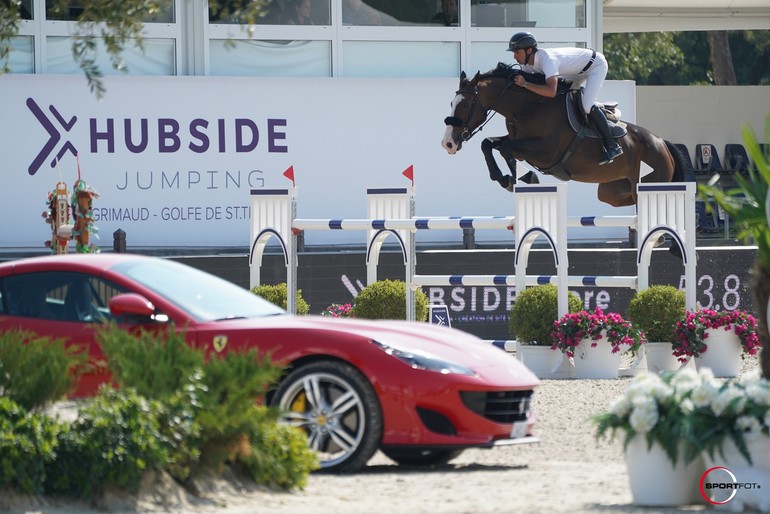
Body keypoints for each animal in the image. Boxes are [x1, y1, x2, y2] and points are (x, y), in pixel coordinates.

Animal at [438, 63, 684, 207]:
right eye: (451, 103)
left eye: (465, 104)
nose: (448, 143)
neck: (529, 107)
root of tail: (662, 143)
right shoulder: (519, 143)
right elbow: (488, 144)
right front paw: (504, 178)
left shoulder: (545, 153)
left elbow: (505, 149)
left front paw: (521, 178)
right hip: (612, 192)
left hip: (651, 182)